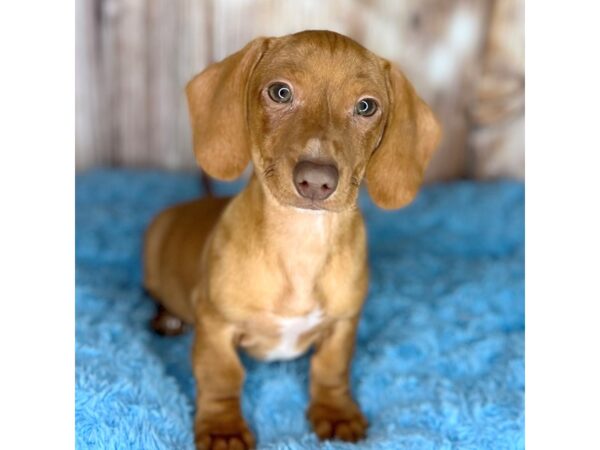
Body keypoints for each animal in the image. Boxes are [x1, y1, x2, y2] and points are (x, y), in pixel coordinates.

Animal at [143, 29, 438, 448]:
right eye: (280, 92)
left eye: (366, 106)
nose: (316, 180)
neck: (301, 242)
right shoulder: (215, 327)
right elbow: (221, 376)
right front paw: (222, 427)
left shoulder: (343, 324)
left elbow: (331, 369)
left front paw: (335, 412)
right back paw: (166, 318)